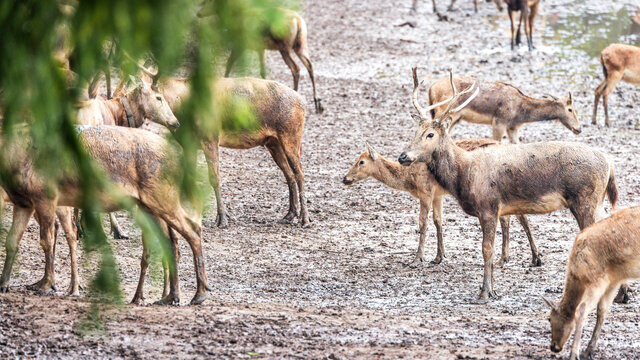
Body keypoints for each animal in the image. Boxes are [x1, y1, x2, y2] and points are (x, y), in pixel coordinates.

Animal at [0, 125, 208, 306]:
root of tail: (179, 155)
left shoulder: (45, 196)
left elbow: (47, 241)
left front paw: (47, 285)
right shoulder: (23, 203)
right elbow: (12, 241)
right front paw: (4, 284)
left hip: (164, 197)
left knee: (193, 229)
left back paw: (199, 294)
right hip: (149, 206)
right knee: (170, 243)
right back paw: (169, 296)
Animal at [342, 141, 544, 268]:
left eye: (361, 161)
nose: (344, 178)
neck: (408, 179)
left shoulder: (425, 192)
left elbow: (422, 223)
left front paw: (417, 259)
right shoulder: (437, 195)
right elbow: (438, 221)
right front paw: (438, 257)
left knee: (510, 219)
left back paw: (508, 259)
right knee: (519, 216)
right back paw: (534, 258)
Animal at [428, 75, 584, 143]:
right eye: (570, 109)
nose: (579, 128)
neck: (520, 112)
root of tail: (431, 88)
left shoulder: (512, 127)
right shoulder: (499, 122)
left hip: (453, 118)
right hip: (443, 112)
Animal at [544, 205, 640, 360]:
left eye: (549, 318)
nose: (553, 346)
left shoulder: (598, 280)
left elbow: (581, 310)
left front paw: (578, 353)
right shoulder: (613, 281)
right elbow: (602, 310)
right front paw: (589, 350)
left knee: (581, 309)